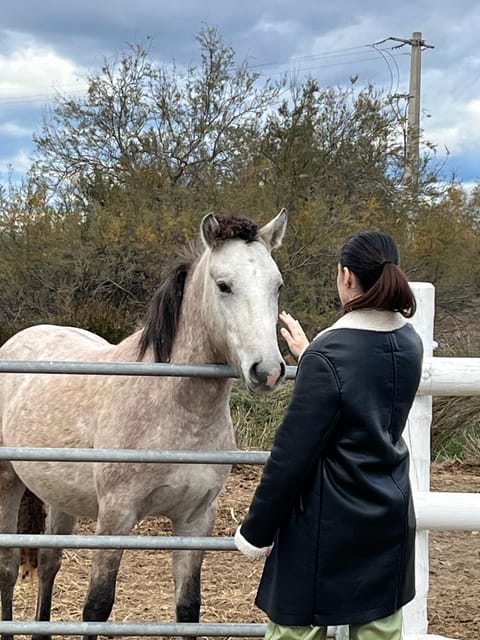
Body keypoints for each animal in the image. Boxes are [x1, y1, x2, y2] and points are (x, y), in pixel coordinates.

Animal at [0, 210, 288, 640]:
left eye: (277, 285)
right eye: (224, 285)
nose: (267, 371)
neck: (173, 408)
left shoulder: (195, 521)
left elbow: (188, 609)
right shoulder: (116, 516)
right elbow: (97, 607)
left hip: (58, 496)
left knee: (49, 563)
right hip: (8, 481)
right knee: (7, 567)